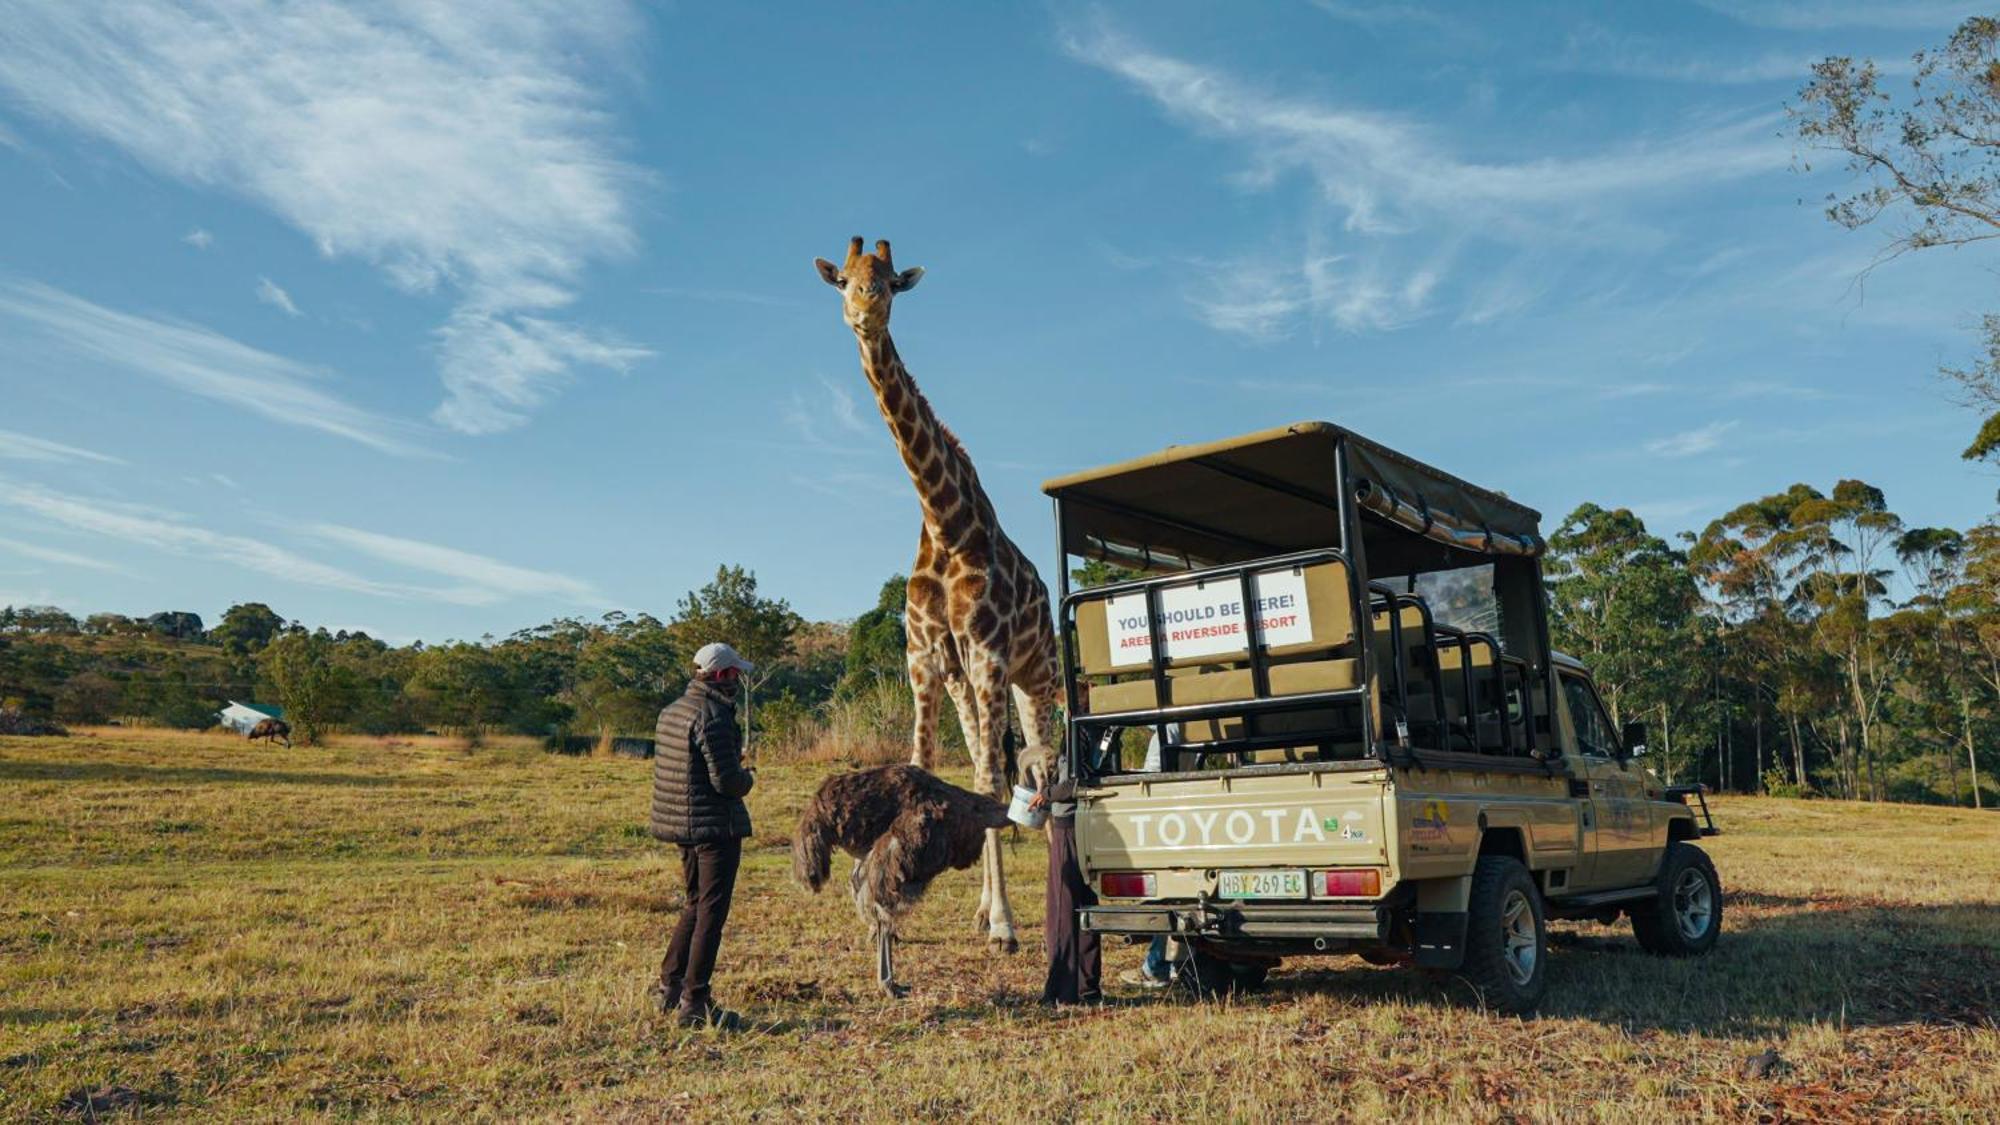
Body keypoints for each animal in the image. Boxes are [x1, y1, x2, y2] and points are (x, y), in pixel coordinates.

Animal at [812, 238, 1064, 952]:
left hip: (1034, 677)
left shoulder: (988, 652)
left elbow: (992, 779)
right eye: (844, 279)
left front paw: (1006, 926)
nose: (865, 309)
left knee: (1035, 765)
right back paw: (980, 910)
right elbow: (925, 764)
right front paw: (890, 916)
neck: (946, 523)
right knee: (987, 757)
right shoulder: (926, 660)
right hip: (965, 684)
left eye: (891, 280)